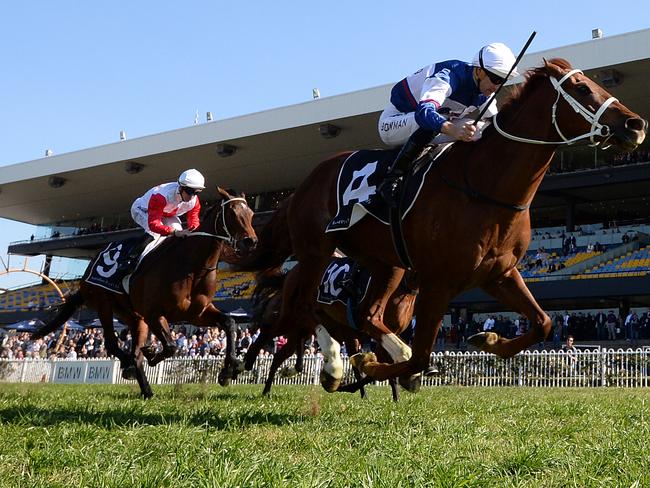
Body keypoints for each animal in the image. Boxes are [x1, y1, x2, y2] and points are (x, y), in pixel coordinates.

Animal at [34, 187, 254, 396]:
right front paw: (153, 354)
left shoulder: (196, 313)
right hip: (104, 304)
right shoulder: (154, 313)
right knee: (114, 344)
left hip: (134, 317)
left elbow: (230, 322)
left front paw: (228, 371)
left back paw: (146, 389)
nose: (250, 241)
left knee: (135, 353)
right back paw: (130, 366)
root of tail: (88, 270)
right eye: (233, 212)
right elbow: (171, 346)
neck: (193, 266)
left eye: (251, 213)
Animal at [246, 264, 418, 400]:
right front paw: (357, 392)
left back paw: (271, 384)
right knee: (269, 332)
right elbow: (360, 368)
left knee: (279, 356)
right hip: (290, 318)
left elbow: (385, 367)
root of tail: (291, 272)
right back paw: (248, 362)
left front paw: (397, 395)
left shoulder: (388, 334)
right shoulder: (352, 333)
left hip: (299, 331)